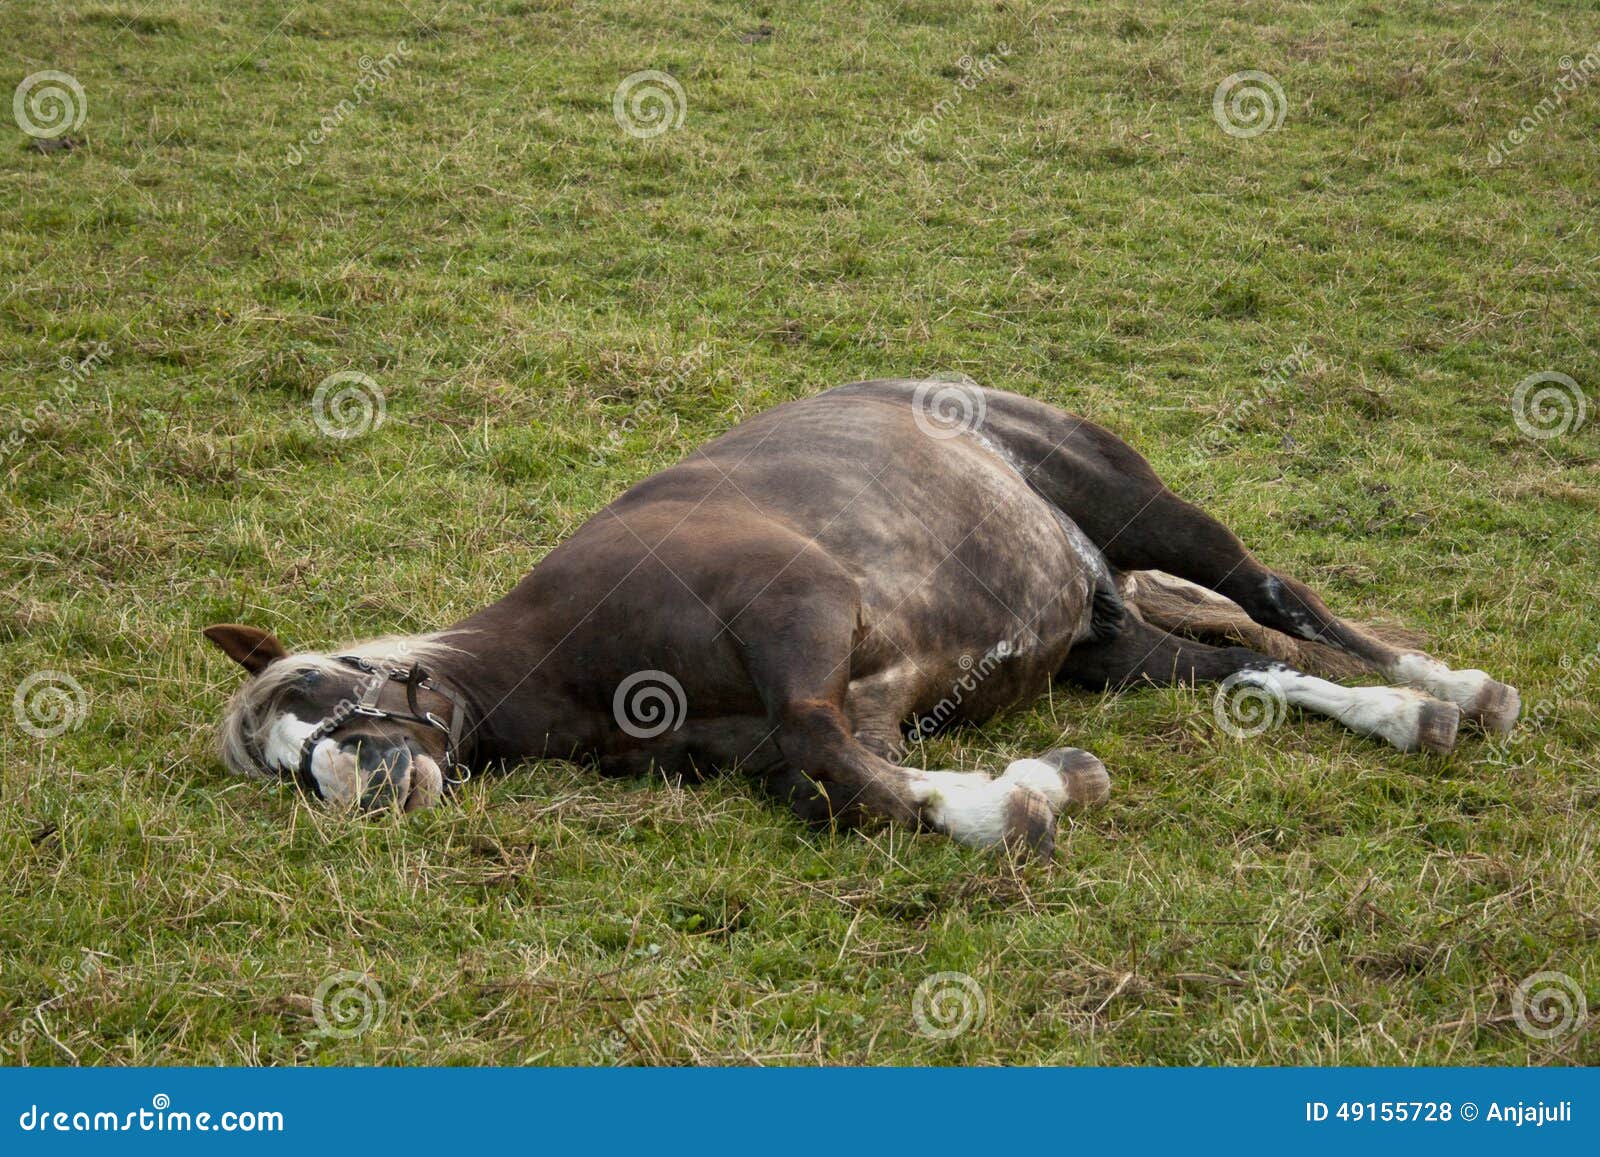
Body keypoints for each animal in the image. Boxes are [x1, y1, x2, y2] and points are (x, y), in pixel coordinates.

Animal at [206, 379, 1520, 858]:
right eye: (280, 765)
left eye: (321, 683)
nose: (355, 784)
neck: (567, 652)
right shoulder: (847, 715)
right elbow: (847, 782)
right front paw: (1030, 786)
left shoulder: (803, 613)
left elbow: (823, 743)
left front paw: (1020, 802)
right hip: (1109, 642)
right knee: (1244, 665)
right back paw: (1399, 714)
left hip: (1150, 514)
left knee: (1278, 598)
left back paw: (1450, 685)